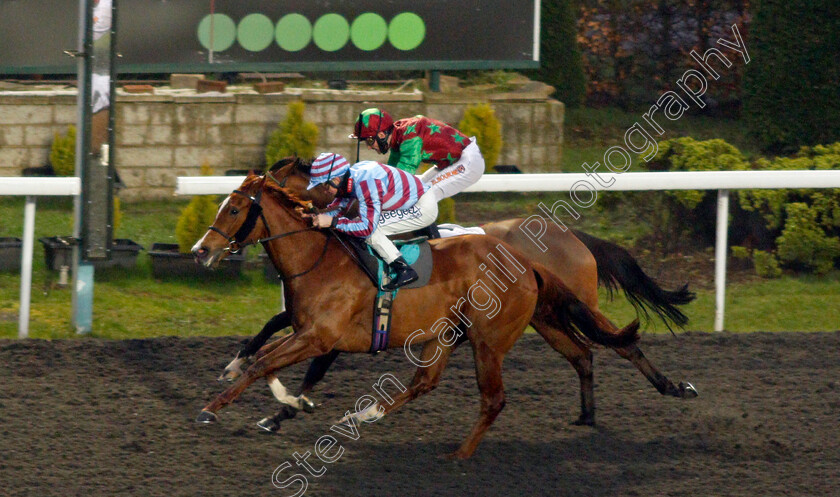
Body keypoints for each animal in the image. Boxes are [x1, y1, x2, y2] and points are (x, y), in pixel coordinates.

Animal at [217, 160, 696, 430]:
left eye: (239, 206)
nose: (206, 248)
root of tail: (572, 235)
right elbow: (277, 330)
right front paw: (250, 378)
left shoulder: (342, 323)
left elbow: (309, 362)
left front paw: (278, 403)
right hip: (545, 317)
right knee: (583, 353)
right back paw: (589, 414)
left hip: (573, 305)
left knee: (622, 344)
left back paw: (674, 387)